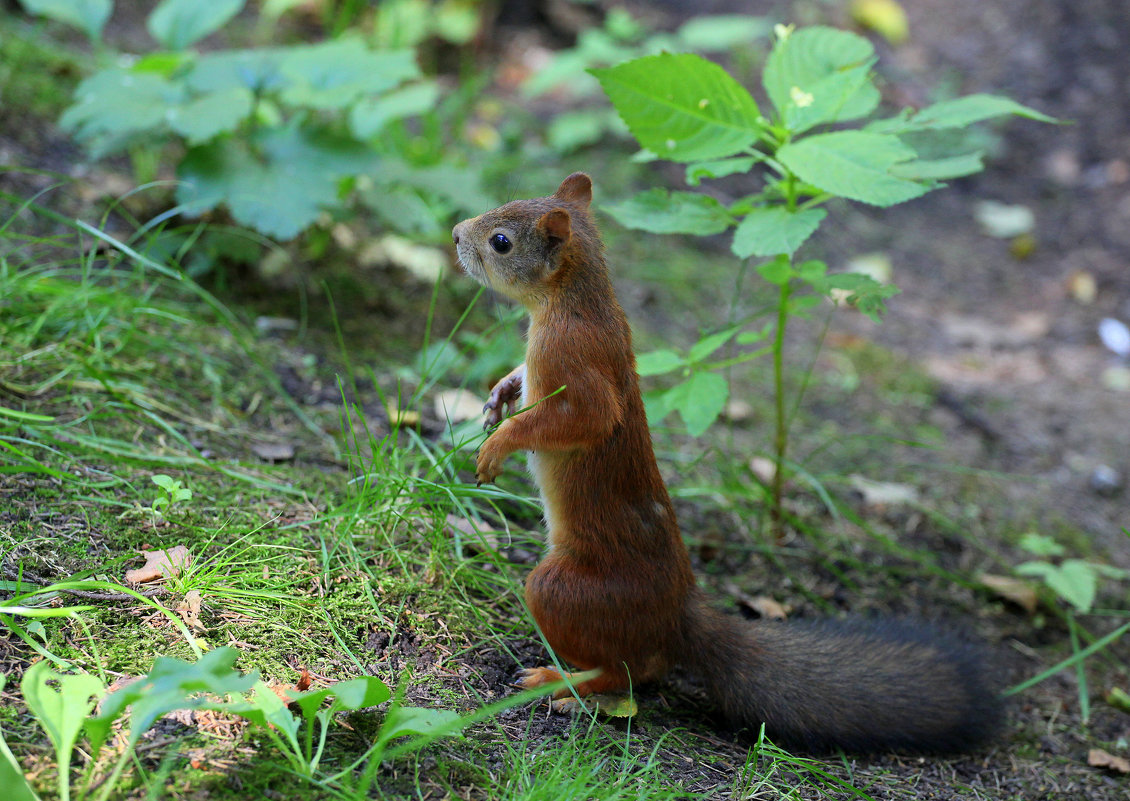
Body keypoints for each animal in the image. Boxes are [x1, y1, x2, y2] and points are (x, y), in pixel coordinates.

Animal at [447, 171, 998, 754]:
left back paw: (562, 682)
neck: (573, 300)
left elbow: (588, 419)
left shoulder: (574, 358)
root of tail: (675, 620)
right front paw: (501, 393)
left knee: (626, 671)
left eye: (501, 241)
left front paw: (498, 445)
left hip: (566, 589)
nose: (457, 233)